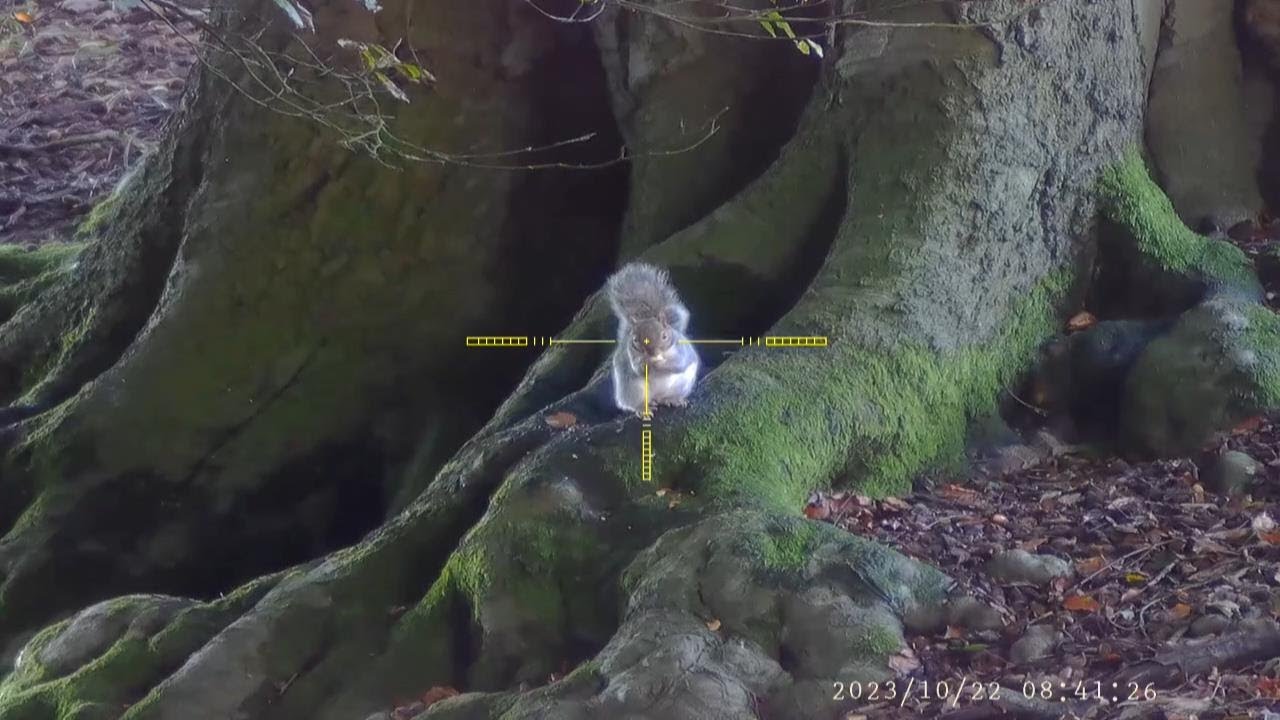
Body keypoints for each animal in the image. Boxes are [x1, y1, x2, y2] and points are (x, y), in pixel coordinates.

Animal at [606, 262, 700, 417]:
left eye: (664, 336)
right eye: (635, 340)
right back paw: (643, 409)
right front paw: (647, 363)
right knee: (638, 402)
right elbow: (637, 368)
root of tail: (657, 396)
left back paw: (673, 399)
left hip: (682, 385)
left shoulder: (681, 349)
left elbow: (679, 363)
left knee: (668, 396)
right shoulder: (631, 355)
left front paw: (660, 363)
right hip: (634, 390)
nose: (652, 353)